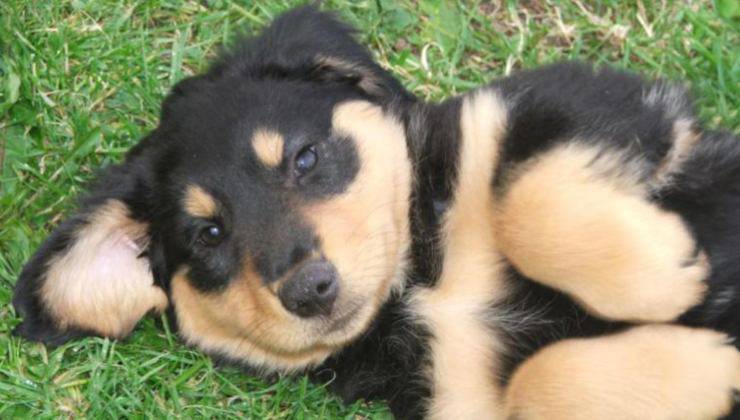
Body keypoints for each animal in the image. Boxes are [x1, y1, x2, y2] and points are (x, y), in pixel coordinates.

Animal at [11, 6, 740, 420]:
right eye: (209, 234)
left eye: (305, 158)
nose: (310, 289)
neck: (418, 290)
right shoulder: (461, 393)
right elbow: (540, 382)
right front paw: (710, 371)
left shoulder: (573, 102)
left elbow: (522, 197)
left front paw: (660, 273)